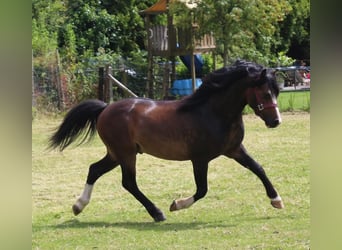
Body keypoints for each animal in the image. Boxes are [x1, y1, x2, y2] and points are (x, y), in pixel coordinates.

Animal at [48, 59, 284, 222]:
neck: (213, 112)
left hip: (116, 154)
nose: (275, 121)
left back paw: (79, 205)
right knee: (128, 182)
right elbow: (202, 190)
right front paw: (176, 205)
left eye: (277, 92)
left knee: (94, 170)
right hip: (126, 154)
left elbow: (258, 168)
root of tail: (106, 108)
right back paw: (158, 213)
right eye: (265, 94)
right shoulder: (200, 159)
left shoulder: (234, 149)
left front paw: (276, 200)